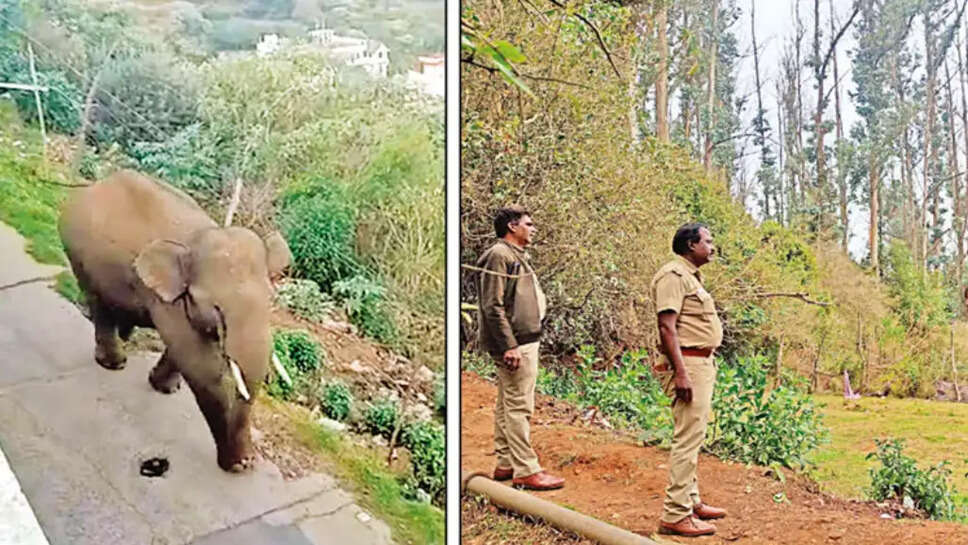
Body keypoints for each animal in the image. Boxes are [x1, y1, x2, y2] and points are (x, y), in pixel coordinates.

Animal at [58, 169, 292, 472]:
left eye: (271, 299)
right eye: (216, 307)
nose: (246, 462)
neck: (202, 236)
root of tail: (94, 184)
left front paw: (165, 388)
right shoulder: (165, 298)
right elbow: (197, 362)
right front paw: (239, 464)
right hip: (80, 254)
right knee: (100, 303)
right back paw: (113, 362)